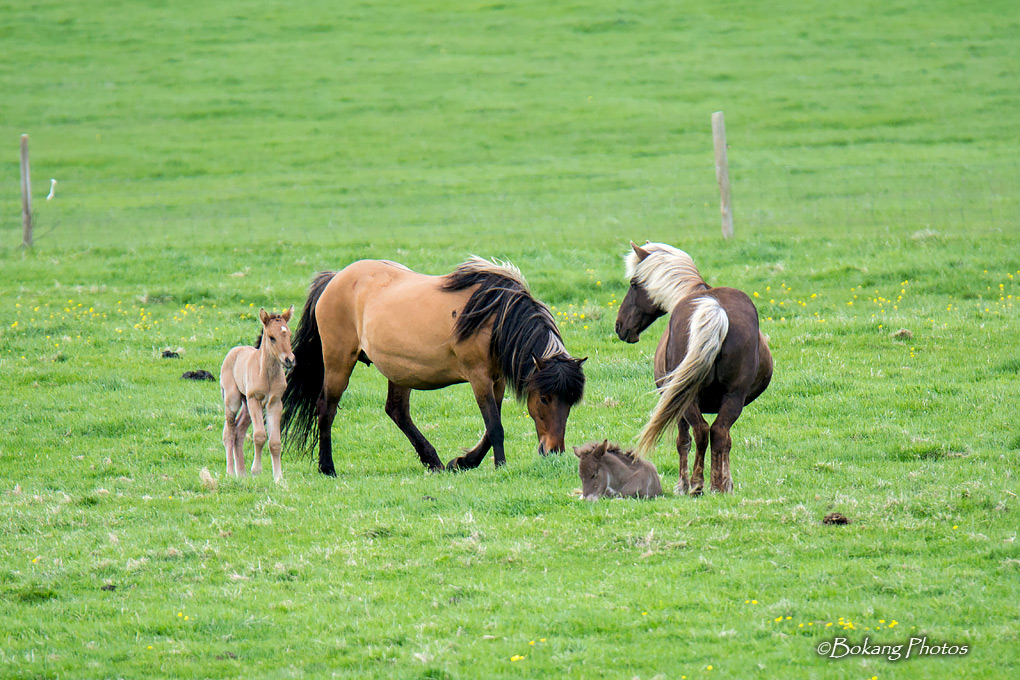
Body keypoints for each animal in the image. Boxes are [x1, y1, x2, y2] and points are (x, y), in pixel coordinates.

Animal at [217, 305, 293, 481]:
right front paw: (256, 470)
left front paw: (278, 478)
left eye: (289, 334)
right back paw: (231, 473)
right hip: (233, 400)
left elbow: (275, 442)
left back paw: (242, 474)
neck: (266, 374)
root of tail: (234, 350)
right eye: (272, 337)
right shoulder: (255, 399)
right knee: (229, 432)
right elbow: (259, 436)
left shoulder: (275, 403)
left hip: (246, 406)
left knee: (239, 431)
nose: (289, 360)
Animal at [279, 254, 587, 473]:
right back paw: (327, 467)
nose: (554, 450)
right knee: (326, 407)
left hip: (399, 371)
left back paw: (433, 461)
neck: (496, 317)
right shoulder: (479, 377)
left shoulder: (496, 379)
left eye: (571, 402)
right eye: (545, 399)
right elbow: (495, 426)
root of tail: (335, 279)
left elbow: (490, 427)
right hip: (338, 361)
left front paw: (463, 462)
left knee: (397, 411)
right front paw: (500, 466)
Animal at [612, 244, 771, 495]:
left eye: (633, 283)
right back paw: (718, 485)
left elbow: (683, 442)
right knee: (719, 433)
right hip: (733, 395)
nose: (620, 326)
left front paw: (682, 484)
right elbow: (726, 442)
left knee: (702, 432)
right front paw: (728, 483)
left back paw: (697, 484)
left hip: (687, 398)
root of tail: (716, 308)